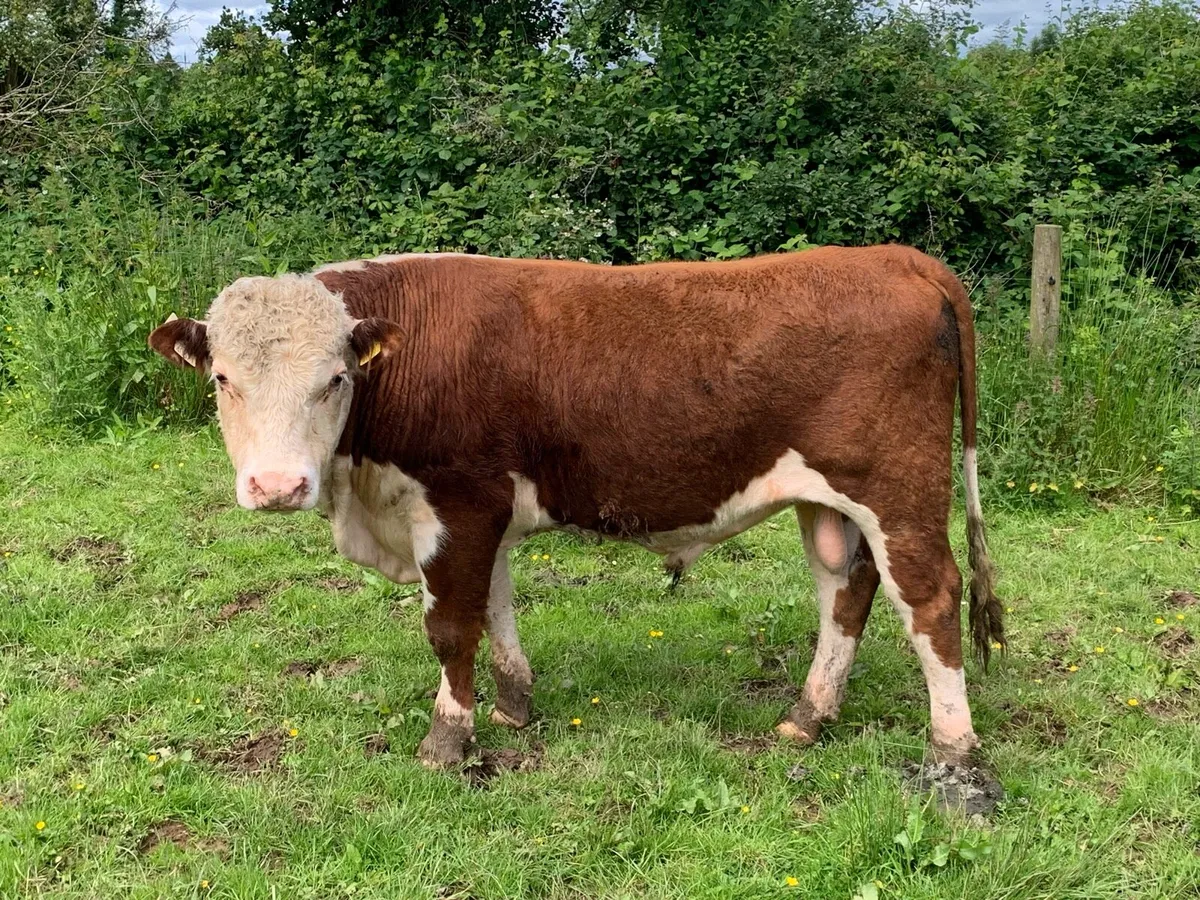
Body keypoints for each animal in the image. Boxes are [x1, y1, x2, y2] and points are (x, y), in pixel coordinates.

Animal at [150, 246, 1005, 769]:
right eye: (222, 378)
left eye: (334, 379)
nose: (277, 487)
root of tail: (893, 256)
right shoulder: (485, 511)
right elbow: (495, 608)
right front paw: (511, 706)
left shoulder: (459, 500)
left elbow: (450, 625)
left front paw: (447, 738)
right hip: (829, 502)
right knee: (845, 590)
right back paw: (808, 715)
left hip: (896, 489)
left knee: (930, 598)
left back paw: (953, 748)